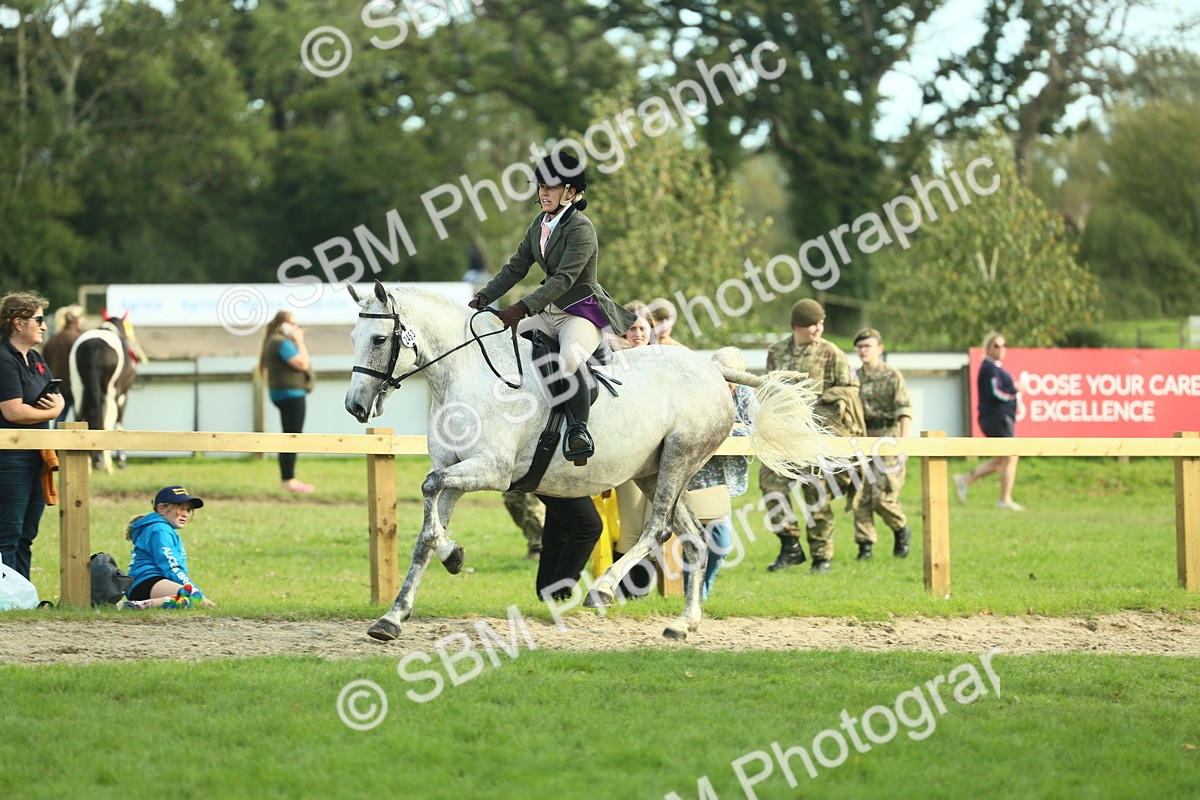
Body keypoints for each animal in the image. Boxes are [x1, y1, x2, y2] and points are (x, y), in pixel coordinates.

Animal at [68, 310, 146, 472]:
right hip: (111, 395)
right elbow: (118, 422)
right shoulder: (123, 396)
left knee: (80, 418)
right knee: (107, 422)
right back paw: (107, 465)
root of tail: (94, 345)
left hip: (78, 391)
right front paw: (121, 461)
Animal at [344, 281, 829, 642]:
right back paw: (683, 623)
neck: (470, 375)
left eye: (379, 339)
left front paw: (453, 556)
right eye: (354, 339)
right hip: (653, 470)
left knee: (659, 528)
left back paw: (604, 590)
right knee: (692, 538)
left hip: (680, 456)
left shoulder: (491, 470)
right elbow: (426, 532)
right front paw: (396, 614)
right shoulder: (457, 470)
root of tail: (710, 370)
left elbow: (429, 487)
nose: (354, 406)